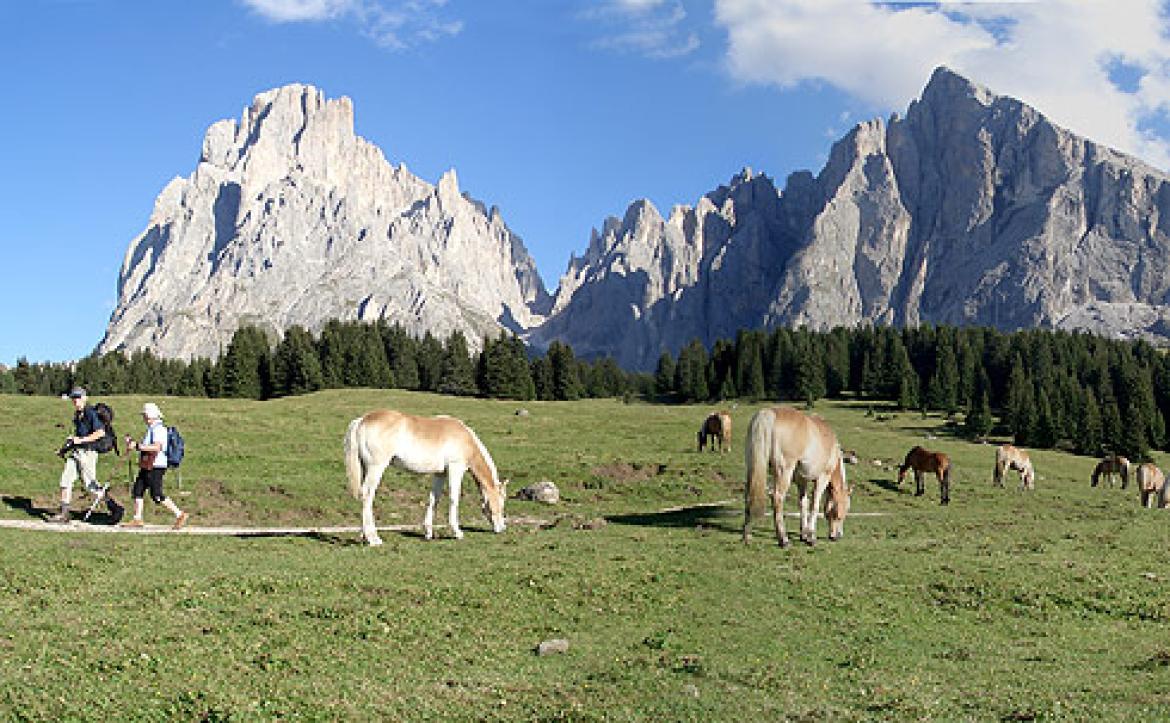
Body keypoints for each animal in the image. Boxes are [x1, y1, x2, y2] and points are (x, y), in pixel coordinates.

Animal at [341, 407, 507, 542]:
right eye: (501, 502)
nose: (502, 528)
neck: (465, 438)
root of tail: (362, 420)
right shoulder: (455, 469)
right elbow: (454, 498)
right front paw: (457, 532)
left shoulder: (440, 474)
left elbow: (434, 499)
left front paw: (428, 532)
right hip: (376, 468)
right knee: (368, 494)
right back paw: (373, 538)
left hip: (366, 468)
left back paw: (364, 535)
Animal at [744, 404, 856, 545]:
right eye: (844, 510)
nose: (838, 535)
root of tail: (768, 414)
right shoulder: (822, 478)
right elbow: (814, 505)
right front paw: (811, 536)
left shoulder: (801, 480)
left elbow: (803, 503)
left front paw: (804, 534)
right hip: (783, 472)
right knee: (777, 497)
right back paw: (784, 539)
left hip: (753, 469)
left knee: (749, 495)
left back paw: (747, 535)